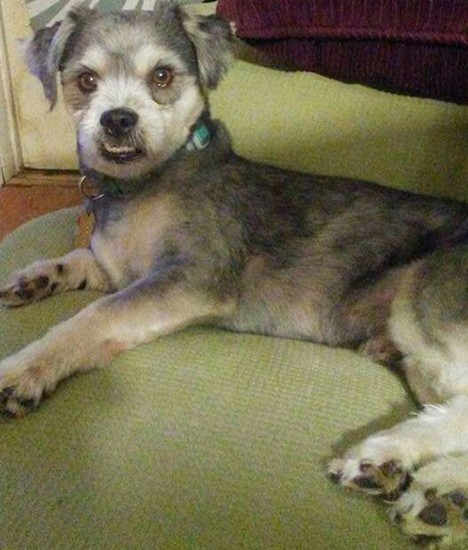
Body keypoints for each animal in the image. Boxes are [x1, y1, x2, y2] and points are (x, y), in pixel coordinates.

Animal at [0, 2, 468, 548]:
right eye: (86, 80)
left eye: (162, 76)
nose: (117, 119)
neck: (144, 186)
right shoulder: (118, 265)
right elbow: (80, 259)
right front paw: (34, 278)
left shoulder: (195, 276)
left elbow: (94, 317)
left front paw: (23, 371)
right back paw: (440, 496)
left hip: (424, 301)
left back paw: (386, 458)